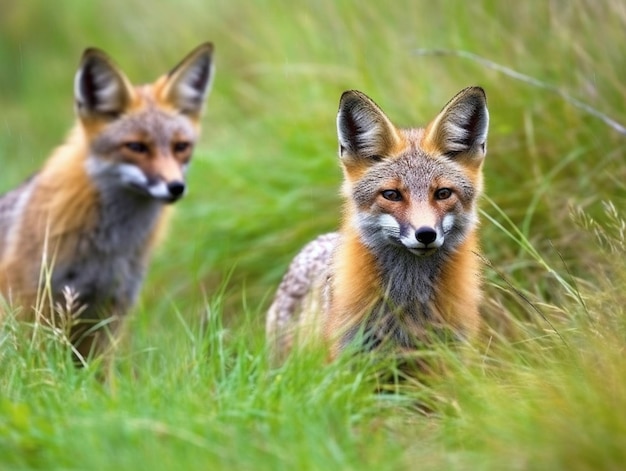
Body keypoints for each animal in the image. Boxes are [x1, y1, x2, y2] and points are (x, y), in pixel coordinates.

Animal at [0, 43, 214, 362]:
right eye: (136, 147)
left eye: (181, 147)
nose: (175, 187)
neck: (107, 247)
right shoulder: (31, 301)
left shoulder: (111, 309)